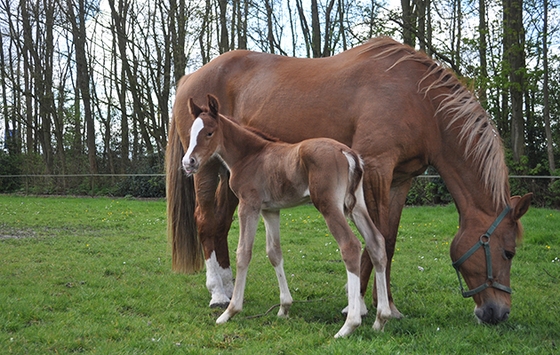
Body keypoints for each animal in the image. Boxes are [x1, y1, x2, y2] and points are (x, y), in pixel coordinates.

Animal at [164, 36, 532, 326]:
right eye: (508, 252)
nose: (498, 313)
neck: (419, 99)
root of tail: (189, 78)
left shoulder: (400, 180)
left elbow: (387, 240)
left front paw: (381, 305)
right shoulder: (377, 167)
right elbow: (376, 238)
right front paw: (366, 306)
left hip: (231, 176)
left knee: (220, 225)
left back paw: (228, 288)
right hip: (206, 169)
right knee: (206, 222)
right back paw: (218, 294)